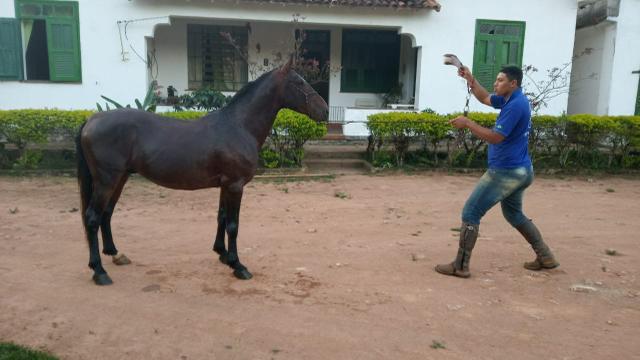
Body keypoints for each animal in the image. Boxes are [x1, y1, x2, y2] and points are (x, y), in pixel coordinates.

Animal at [77, 59, 328, 284]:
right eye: (299, 82)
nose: (324, 110)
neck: (238, 126)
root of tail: (92, 119)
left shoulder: (226, 185)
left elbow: (221, 217)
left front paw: (223, 254)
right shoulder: (235, 185)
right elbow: (233, 225)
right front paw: (238, 266)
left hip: (120, 178)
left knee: (106, 213)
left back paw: (114, 254)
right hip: (107, 181)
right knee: (92, 217)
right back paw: (99, 271)